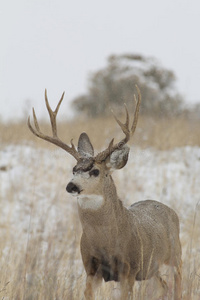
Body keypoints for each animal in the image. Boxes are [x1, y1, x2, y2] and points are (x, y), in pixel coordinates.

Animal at [27, 85, 182, 298]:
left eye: (95, 171)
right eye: (74, 169)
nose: (71, 186)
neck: (106, 243)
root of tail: (170, 210)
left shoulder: (129, 268)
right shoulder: (91, 268)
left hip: (175, 257)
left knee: (179, 285)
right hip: (153, 269)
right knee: (163, 287)